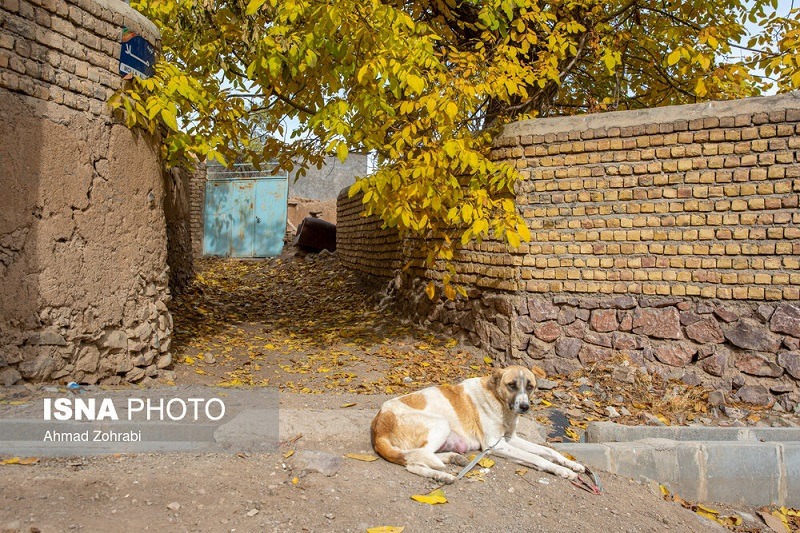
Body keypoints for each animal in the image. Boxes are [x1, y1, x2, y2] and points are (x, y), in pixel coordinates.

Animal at [370, 366, 588, 482]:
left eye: (530, 386)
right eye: (512, 385)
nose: (525, 407)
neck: (498, 401)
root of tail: (379, 423)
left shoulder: (509, 439)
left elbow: (548, 451)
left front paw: (572, 464)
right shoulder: (495, 445)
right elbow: (538, 458)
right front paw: (562, 471)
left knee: (423, 455)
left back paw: (453, 458)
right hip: (441, 425)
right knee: (413, 462)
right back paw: (442, 476)